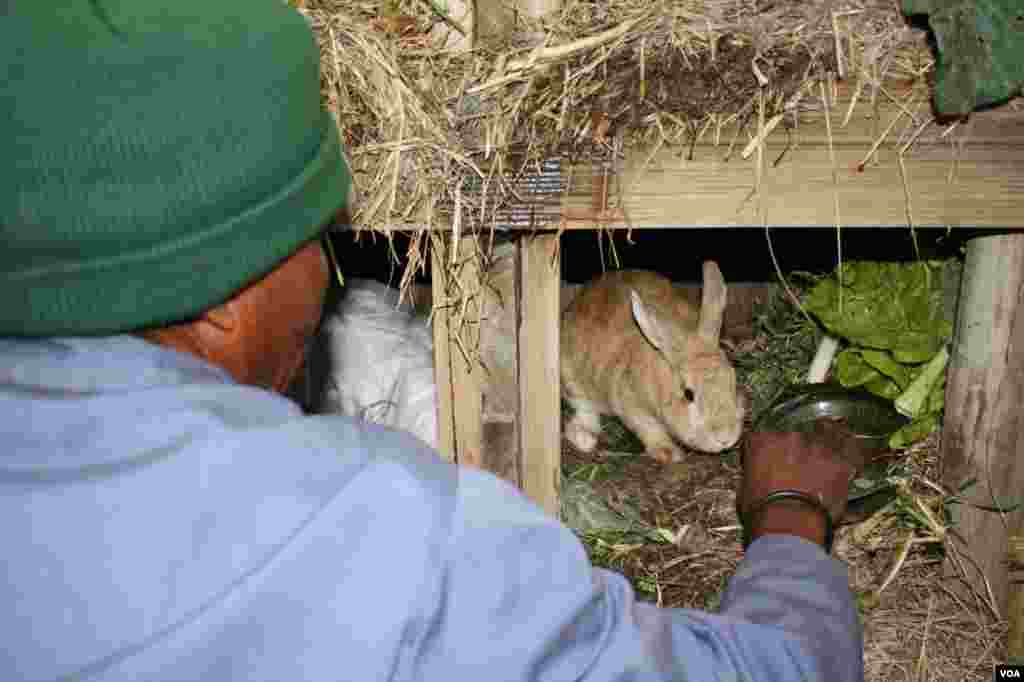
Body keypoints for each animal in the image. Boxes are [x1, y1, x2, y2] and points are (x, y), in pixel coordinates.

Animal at [561, 260, 745, 462]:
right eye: (688, 394)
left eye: (733, 382)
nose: (725, 438)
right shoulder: (630, 402)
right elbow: (648, 427)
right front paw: (670, 453)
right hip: (570, 377)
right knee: (584, 408)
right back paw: (585, 438)